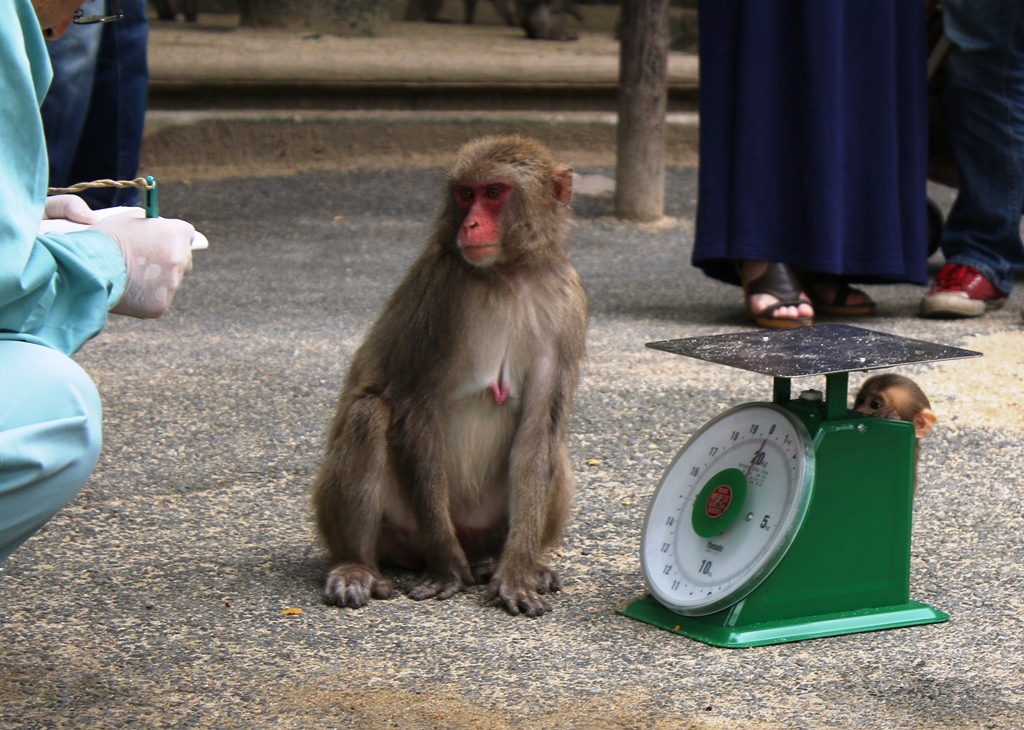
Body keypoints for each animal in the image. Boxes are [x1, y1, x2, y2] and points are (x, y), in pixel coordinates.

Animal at [309, 135, 585, 614]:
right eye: (464, 194)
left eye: (493, 193)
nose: (470, 224)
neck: (509, 275)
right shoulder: (442, 295)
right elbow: (418, 409)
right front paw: (446, 567)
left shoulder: (569, 305)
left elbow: (537, 438)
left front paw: (516, 572)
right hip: (396, 527)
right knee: (369, 414)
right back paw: (358, 566)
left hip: (487, 525)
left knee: (556, 451)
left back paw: (509, 562)